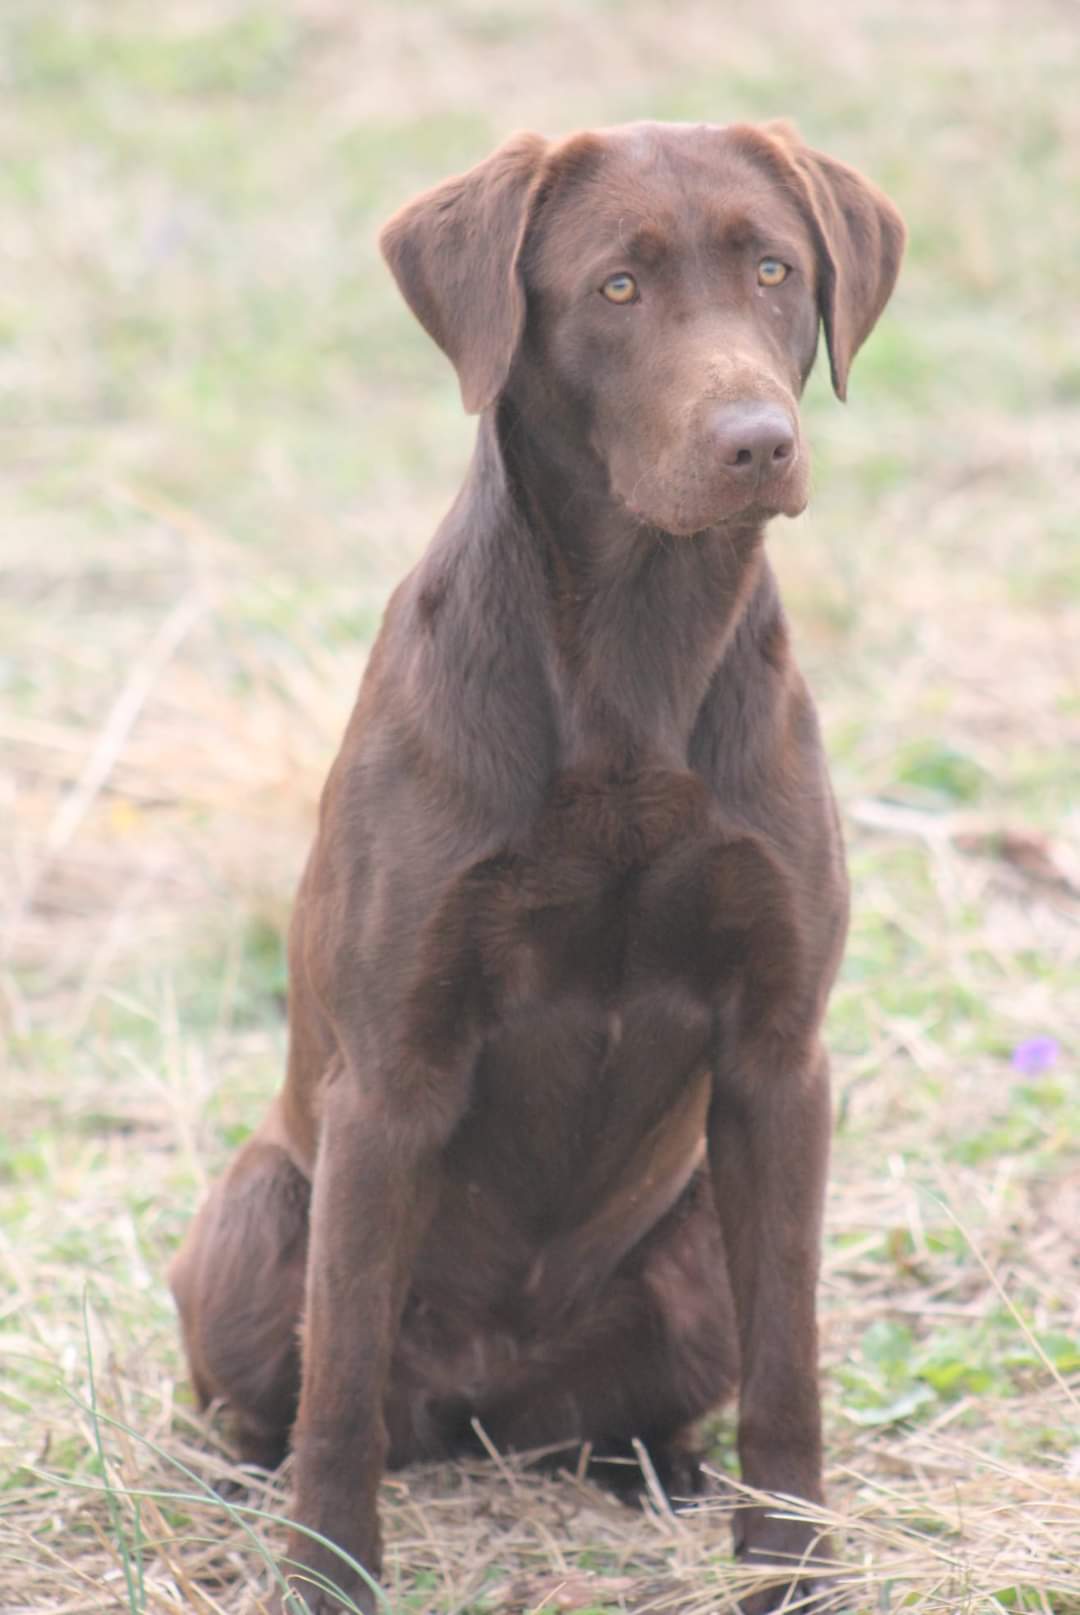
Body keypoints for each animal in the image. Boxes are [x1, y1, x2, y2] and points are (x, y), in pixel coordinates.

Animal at [170, 119, 904, 1608]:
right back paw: (243, 1477)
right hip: (262, 1217)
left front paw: (791, 1563)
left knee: (652, 1397)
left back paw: (664, 1471)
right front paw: (329, 1574)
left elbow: (790, 1364)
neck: (634, 643)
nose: (758, 440)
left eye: (775, 269)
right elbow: (340, 1382)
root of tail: (483, 1403)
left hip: (689, 1258)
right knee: (291, 1390)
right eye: (617, 287)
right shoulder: (389, 1076)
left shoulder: (781, 1059)